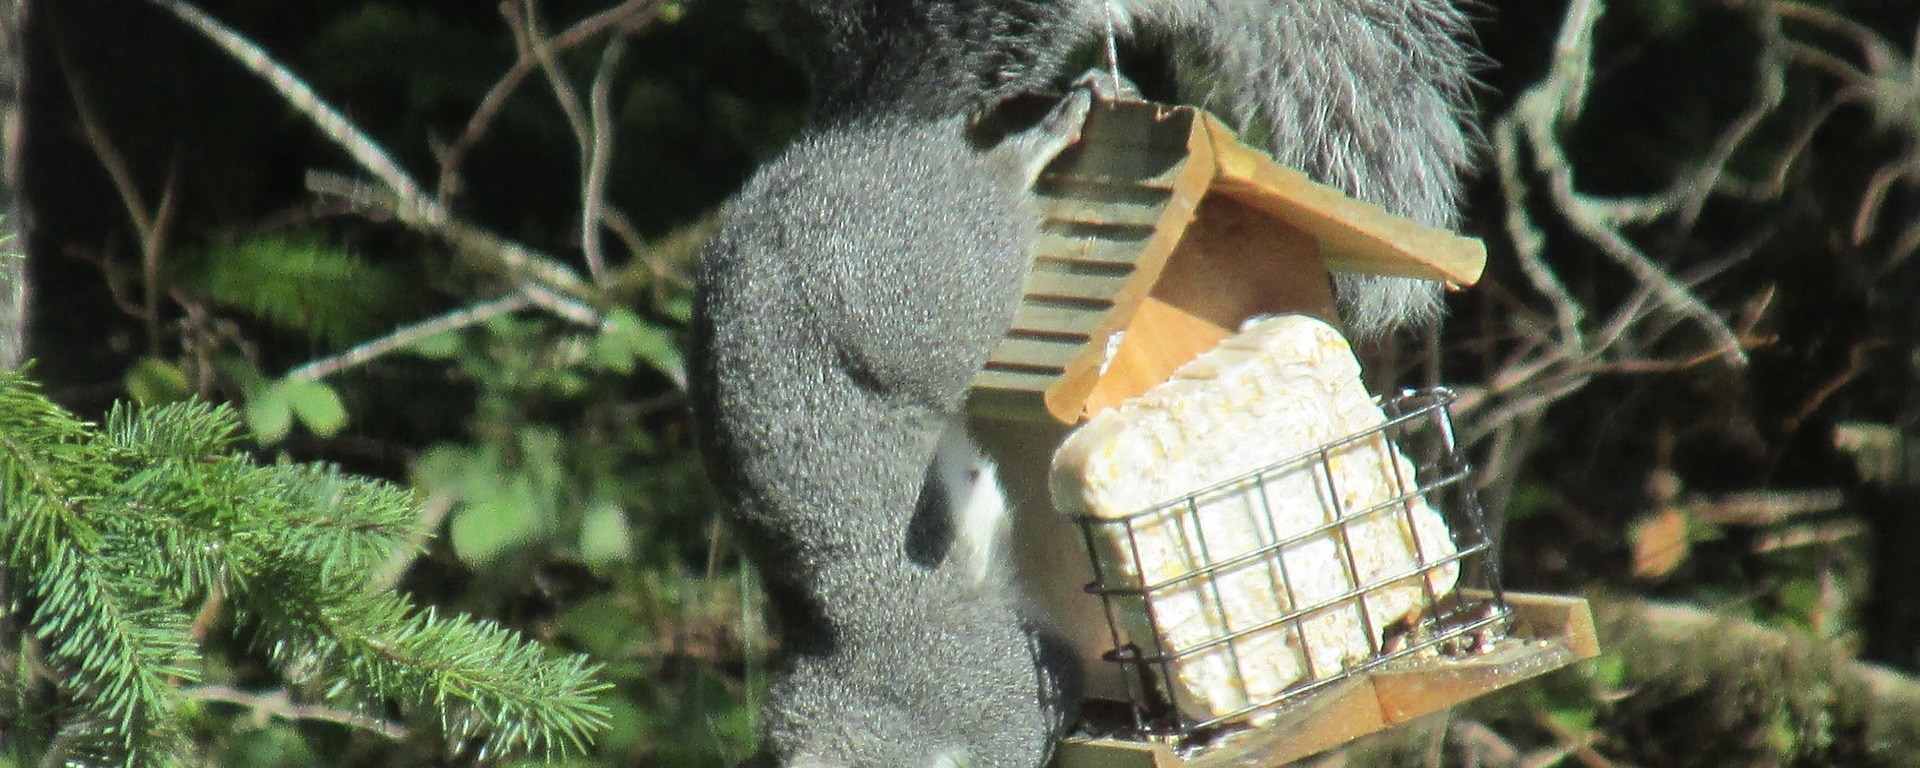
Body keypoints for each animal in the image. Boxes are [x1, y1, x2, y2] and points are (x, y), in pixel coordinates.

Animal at [689, 2, 1478, 767]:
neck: (871, 700)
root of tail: (853, 139)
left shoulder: (985, 682)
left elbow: (1043, 692)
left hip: (935, 275)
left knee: (988, 202)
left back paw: (1039, 141)